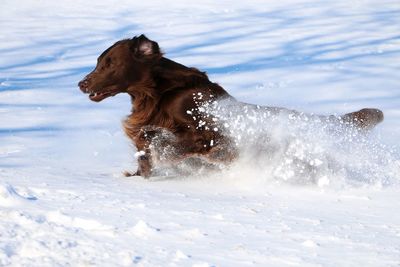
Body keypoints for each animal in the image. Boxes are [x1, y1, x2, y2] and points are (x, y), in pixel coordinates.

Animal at [79, 35, 384, 178]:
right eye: (99, 62)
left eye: (109, 64)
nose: (81, 83)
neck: (159, 94)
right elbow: (145, 149)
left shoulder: (209, 133)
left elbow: (172, 145)